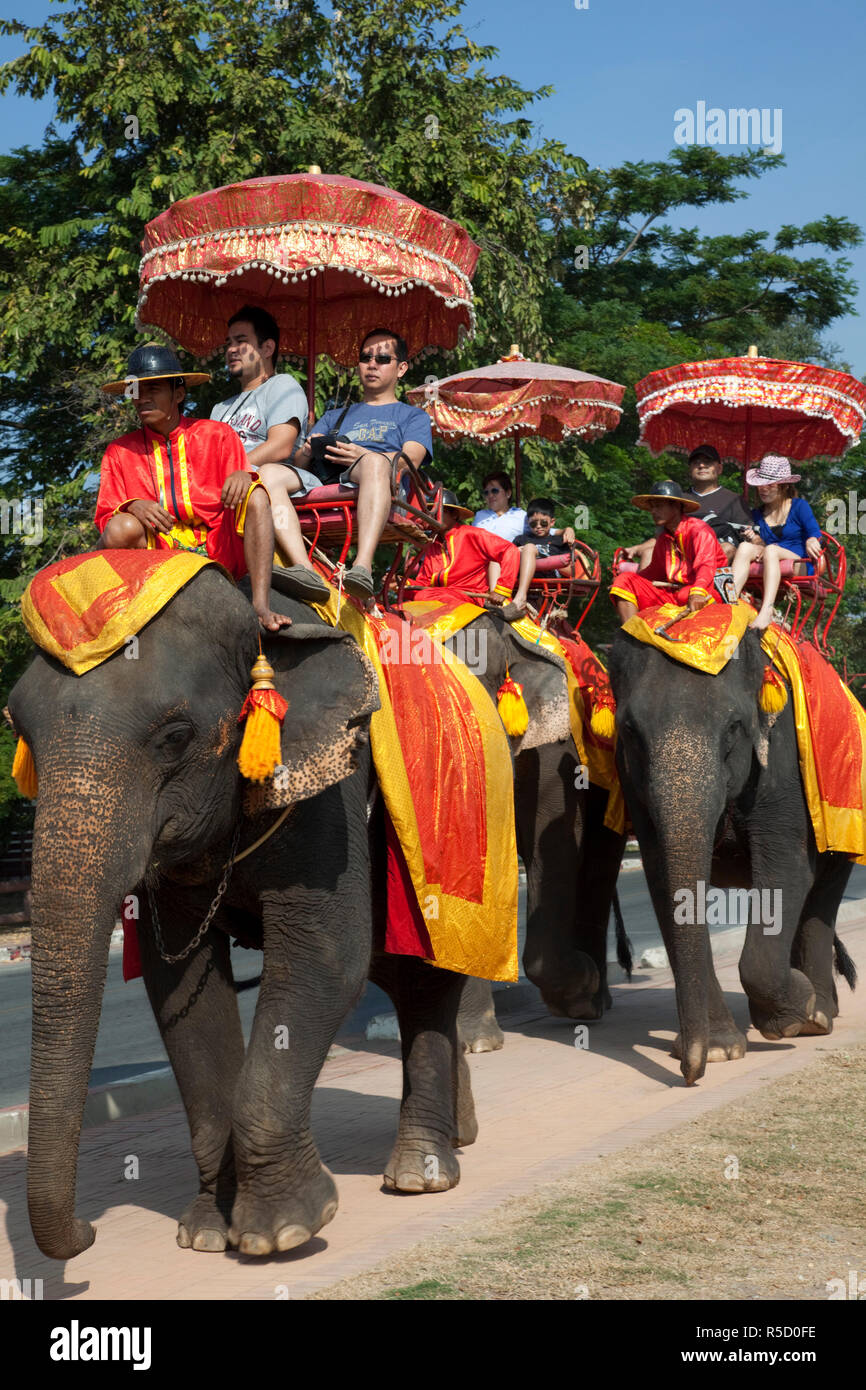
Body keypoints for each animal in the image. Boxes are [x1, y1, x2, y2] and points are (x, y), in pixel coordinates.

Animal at [9, 568, 490, 1261]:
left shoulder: (331, 793)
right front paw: (207, 1234)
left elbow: (325, 955)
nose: (87, 1231)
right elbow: (180, 985)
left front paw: (281, 1232)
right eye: (23, 736)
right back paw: (460, 1130)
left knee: (425, 975)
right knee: (394, 972)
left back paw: (420, 1174)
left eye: (175, 738)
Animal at [609, 624, 857, 1086]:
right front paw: (721, 1049)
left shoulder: (784, 765)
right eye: (630, 730)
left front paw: (792, 1016)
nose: (689, 1074)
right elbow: (663, 883)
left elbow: (785, 870)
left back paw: (819, 1015)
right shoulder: (634, 785)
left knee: (823, 890)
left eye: (734, 727)